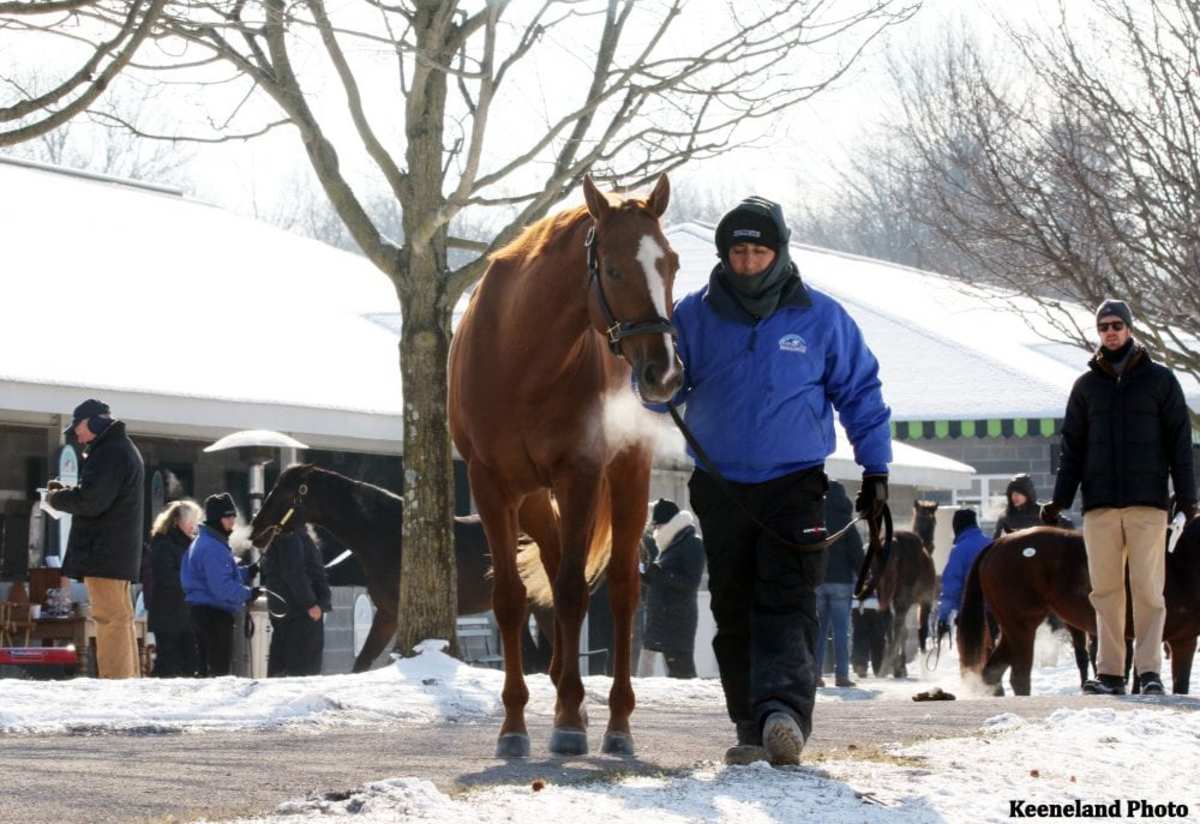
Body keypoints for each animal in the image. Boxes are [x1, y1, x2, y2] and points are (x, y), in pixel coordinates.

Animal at [448, 175, 681, 762]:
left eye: (670, 263)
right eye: (615, 269)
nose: (665, 373)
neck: (521, 354)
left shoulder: (579, 475)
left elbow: (577, 591)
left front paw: (571, 720)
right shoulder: (490, 483)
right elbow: (512, 597)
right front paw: (513, 726)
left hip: (626, 475)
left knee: (621, 588)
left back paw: (615, 720)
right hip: (533, 495)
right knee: (553, 565)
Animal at [955, 525, 1200, 690]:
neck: (1181, 567)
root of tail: (998, 543)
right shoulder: (1182, 639)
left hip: (1012, 625)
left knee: (992, 672)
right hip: (1021, 624)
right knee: (1019, 676)